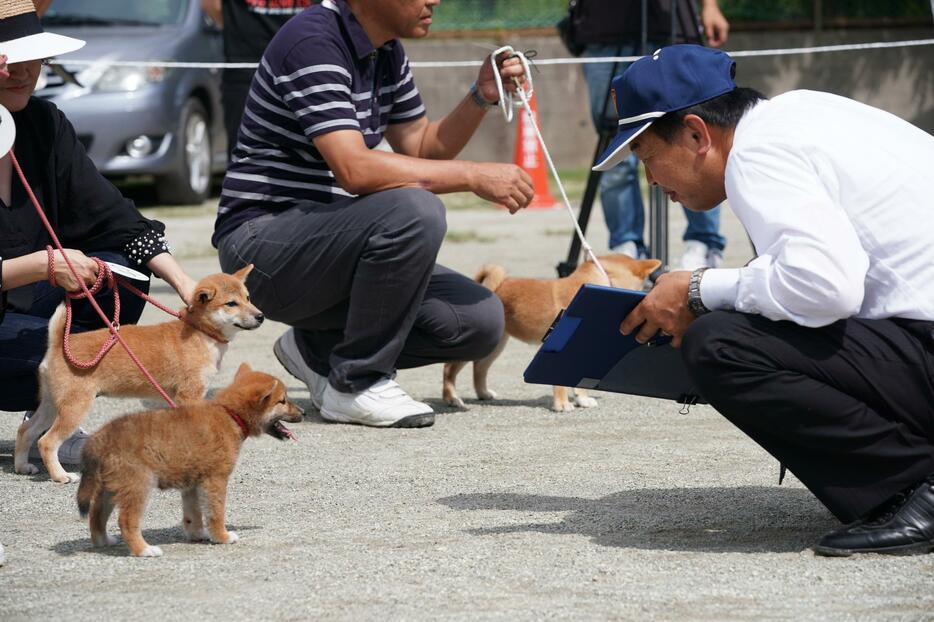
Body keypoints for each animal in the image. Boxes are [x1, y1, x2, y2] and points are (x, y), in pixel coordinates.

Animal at [14, 266, 264, 486]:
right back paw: (60, 475)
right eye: (231, 303)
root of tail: (58, 344)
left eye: (248, 297)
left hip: (51, 404)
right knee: (46, 442)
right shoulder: (190, 396)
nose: (261, 316)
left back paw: (22, 466)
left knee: (26, 431)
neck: (201, 333)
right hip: (75, 407)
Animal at [77, 366, 304, 560]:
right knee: (125, 521)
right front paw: (222, 536)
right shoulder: (215, 480)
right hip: (137, 486)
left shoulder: (193, 484)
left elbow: (193, 514)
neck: (229, 414)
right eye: (283, 400)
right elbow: (215, 514)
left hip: (111, 487)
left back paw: (102, 540)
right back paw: (143, 550)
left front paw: (198, 534)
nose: (303, 412)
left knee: (96, 515)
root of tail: (99, 438)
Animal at [442, 254, 660, 414]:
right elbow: (560, 383)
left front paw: (582, 399)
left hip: (497, 345)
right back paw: (452, 398)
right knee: (448, 369)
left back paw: (483, 393)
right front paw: (562, 404)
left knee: (479, 368)